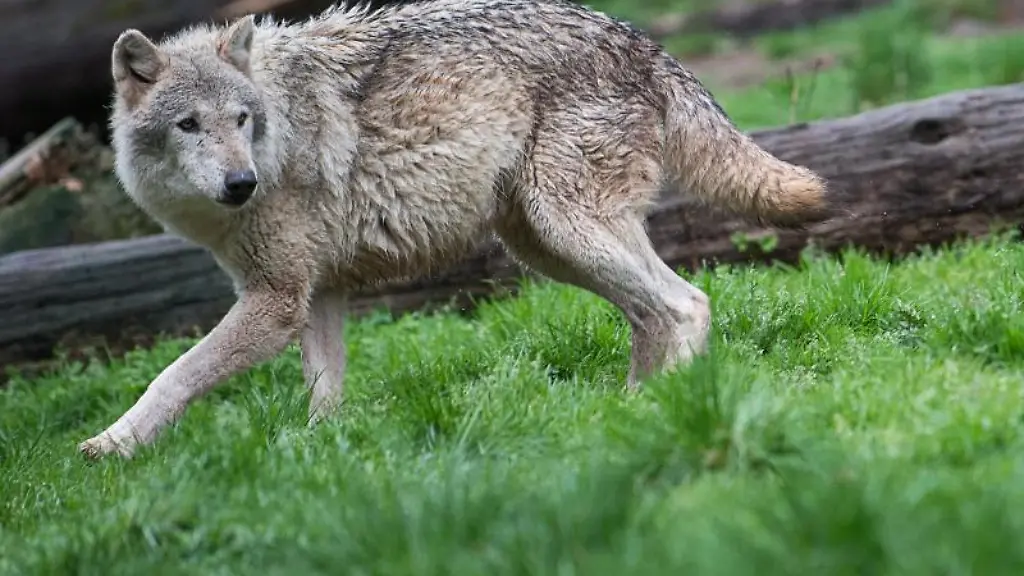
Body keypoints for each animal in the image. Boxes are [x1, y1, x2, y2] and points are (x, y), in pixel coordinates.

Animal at [79, 0, 837, 458]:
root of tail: (640, 40)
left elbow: (173, 374)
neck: (278, 126)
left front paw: (110, 447)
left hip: (566, 230)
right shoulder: (317, 295)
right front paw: (321, 461)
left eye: (241, 119)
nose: (243, 184)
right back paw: (630, 412)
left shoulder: (275, 301)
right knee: (653, 316)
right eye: (189, 125)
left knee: (688, 304)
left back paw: (660, 416)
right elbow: (323, 395)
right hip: (547, 248)